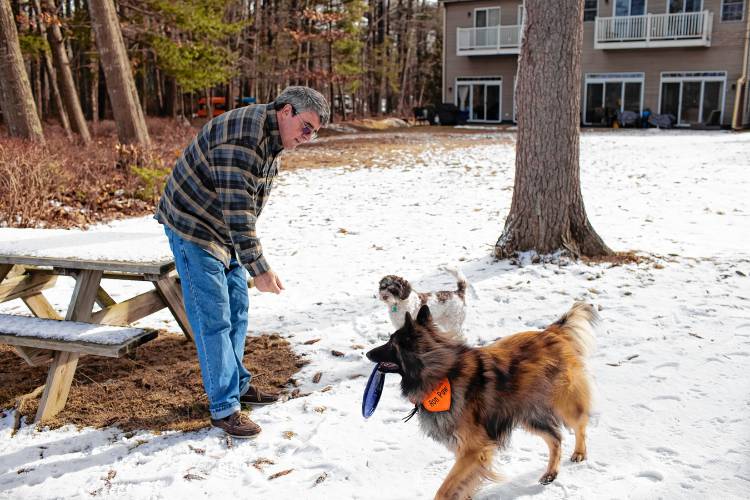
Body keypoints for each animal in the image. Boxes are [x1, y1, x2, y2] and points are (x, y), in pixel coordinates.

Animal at [366, 300, 600, 500]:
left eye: (391, 344)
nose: (367, 354)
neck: (439, 371)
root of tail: (550, 332)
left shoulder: (473, 450)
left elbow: (445, 490)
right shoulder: (467, 452)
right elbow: (464, 484)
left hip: (564, 403)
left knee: (580, 424)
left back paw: (579, 452)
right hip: (529, 414)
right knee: (556, 438)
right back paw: (551, 473)